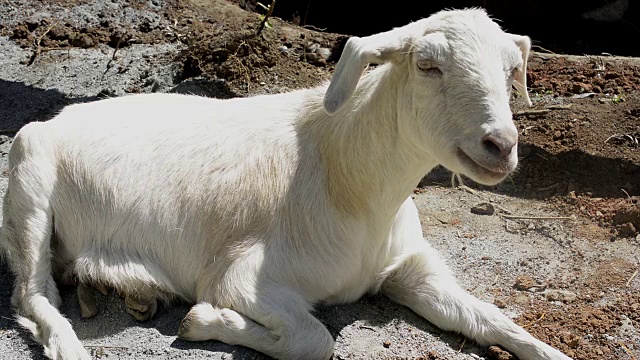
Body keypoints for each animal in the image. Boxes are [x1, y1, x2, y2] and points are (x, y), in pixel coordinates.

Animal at [0, 7, 568, 360]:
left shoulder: (410, 269)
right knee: (33, 295)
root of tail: (62, 114)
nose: (501, 145)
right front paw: (205, 323)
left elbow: (495, 320)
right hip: (29, 176)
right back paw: (72, 344)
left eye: (512, 70)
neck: (352, 184)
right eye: (427, 66)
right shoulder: (243, 278)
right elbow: (314, 340)